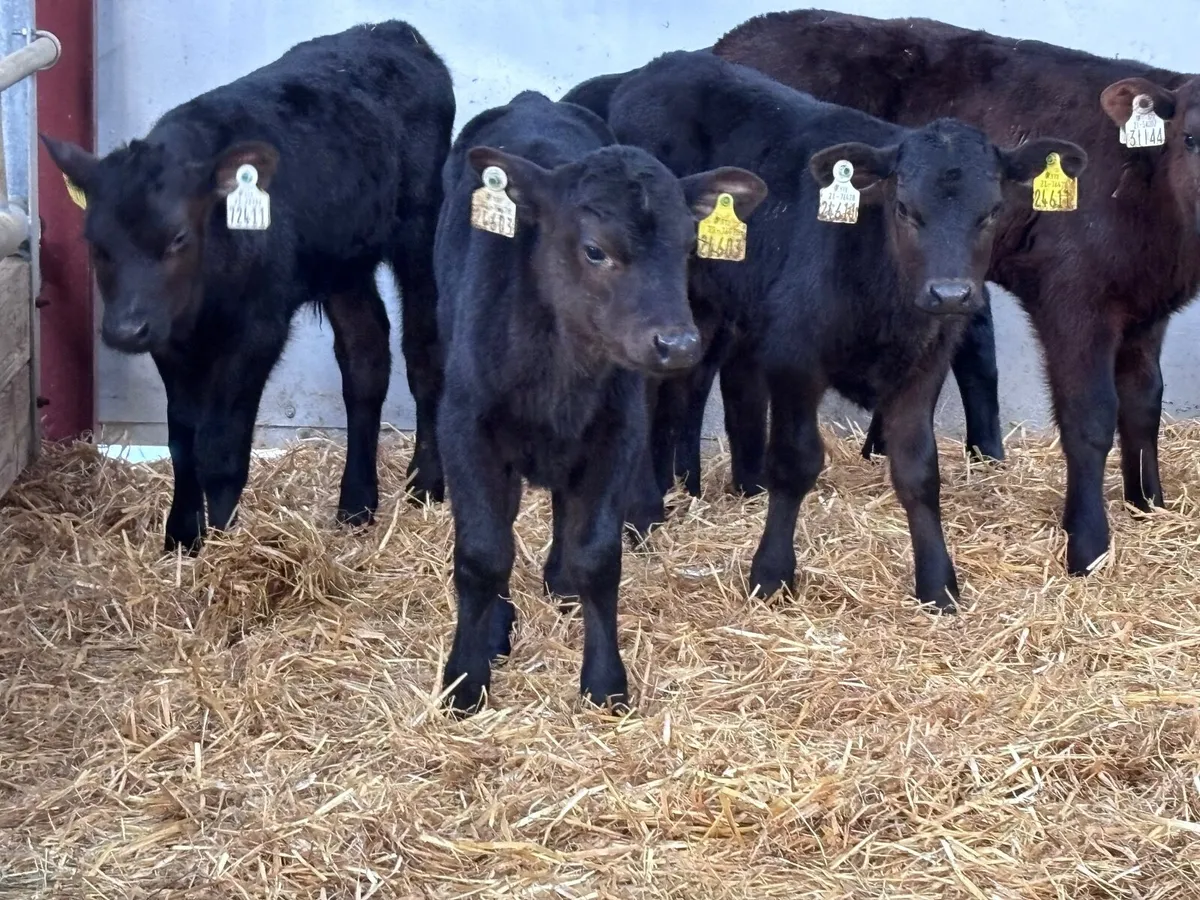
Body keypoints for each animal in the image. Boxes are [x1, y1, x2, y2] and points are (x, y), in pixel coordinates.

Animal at [41, 20, 454, 554]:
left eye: (179, 237)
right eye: (94, 242)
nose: (125, 330)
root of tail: (393, 32)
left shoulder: (257, 329)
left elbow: (220, 446)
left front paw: (225, 544)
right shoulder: (170, 337)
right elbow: (183, 439)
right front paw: (182, 537)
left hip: (420, 229)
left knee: (424, 352)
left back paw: (426, 482)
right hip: (342, 261)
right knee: (366, 355)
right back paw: (356, 505)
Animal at [434, 89, 766, 714]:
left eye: (688, 247)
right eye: (594, 250)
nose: (678, 343)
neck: (560, 375)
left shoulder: (619, 433)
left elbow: (597, 554)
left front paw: (606, 682)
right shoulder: (465, 429)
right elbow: (483, 553)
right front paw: (465, 677)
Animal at [714, 10, 1200, 577]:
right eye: (1191, 138)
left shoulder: (1147, 309)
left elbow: (1145, 403)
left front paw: (1149, 505)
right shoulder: (1075, 301)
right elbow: (1091, 417)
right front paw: (1087, 544)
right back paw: (750, 483)